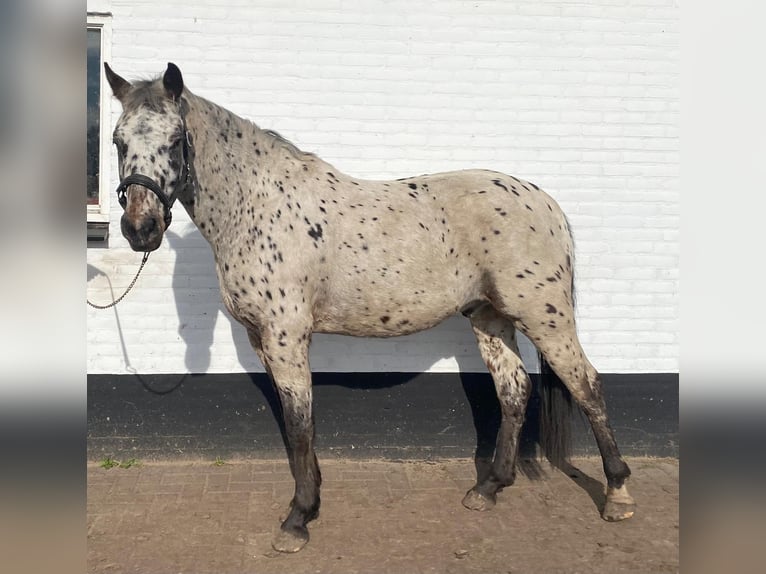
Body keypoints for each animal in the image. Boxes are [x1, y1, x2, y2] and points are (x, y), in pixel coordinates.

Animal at [105, 62, 640, 552]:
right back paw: (488, 489)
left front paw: (297, 520)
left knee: (588, 386)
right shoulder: (263, 340)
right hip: (491, 318)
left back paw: (617, 495)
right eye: (117, 141)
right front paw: (311, 503)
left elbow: (299, 422)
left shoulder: (285, 335)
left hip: (545, 317)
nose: (140, 228)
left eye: (176, 140)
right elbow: (296, 420)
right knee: (514, 392)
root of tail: (545, 202)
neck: (257, 208)